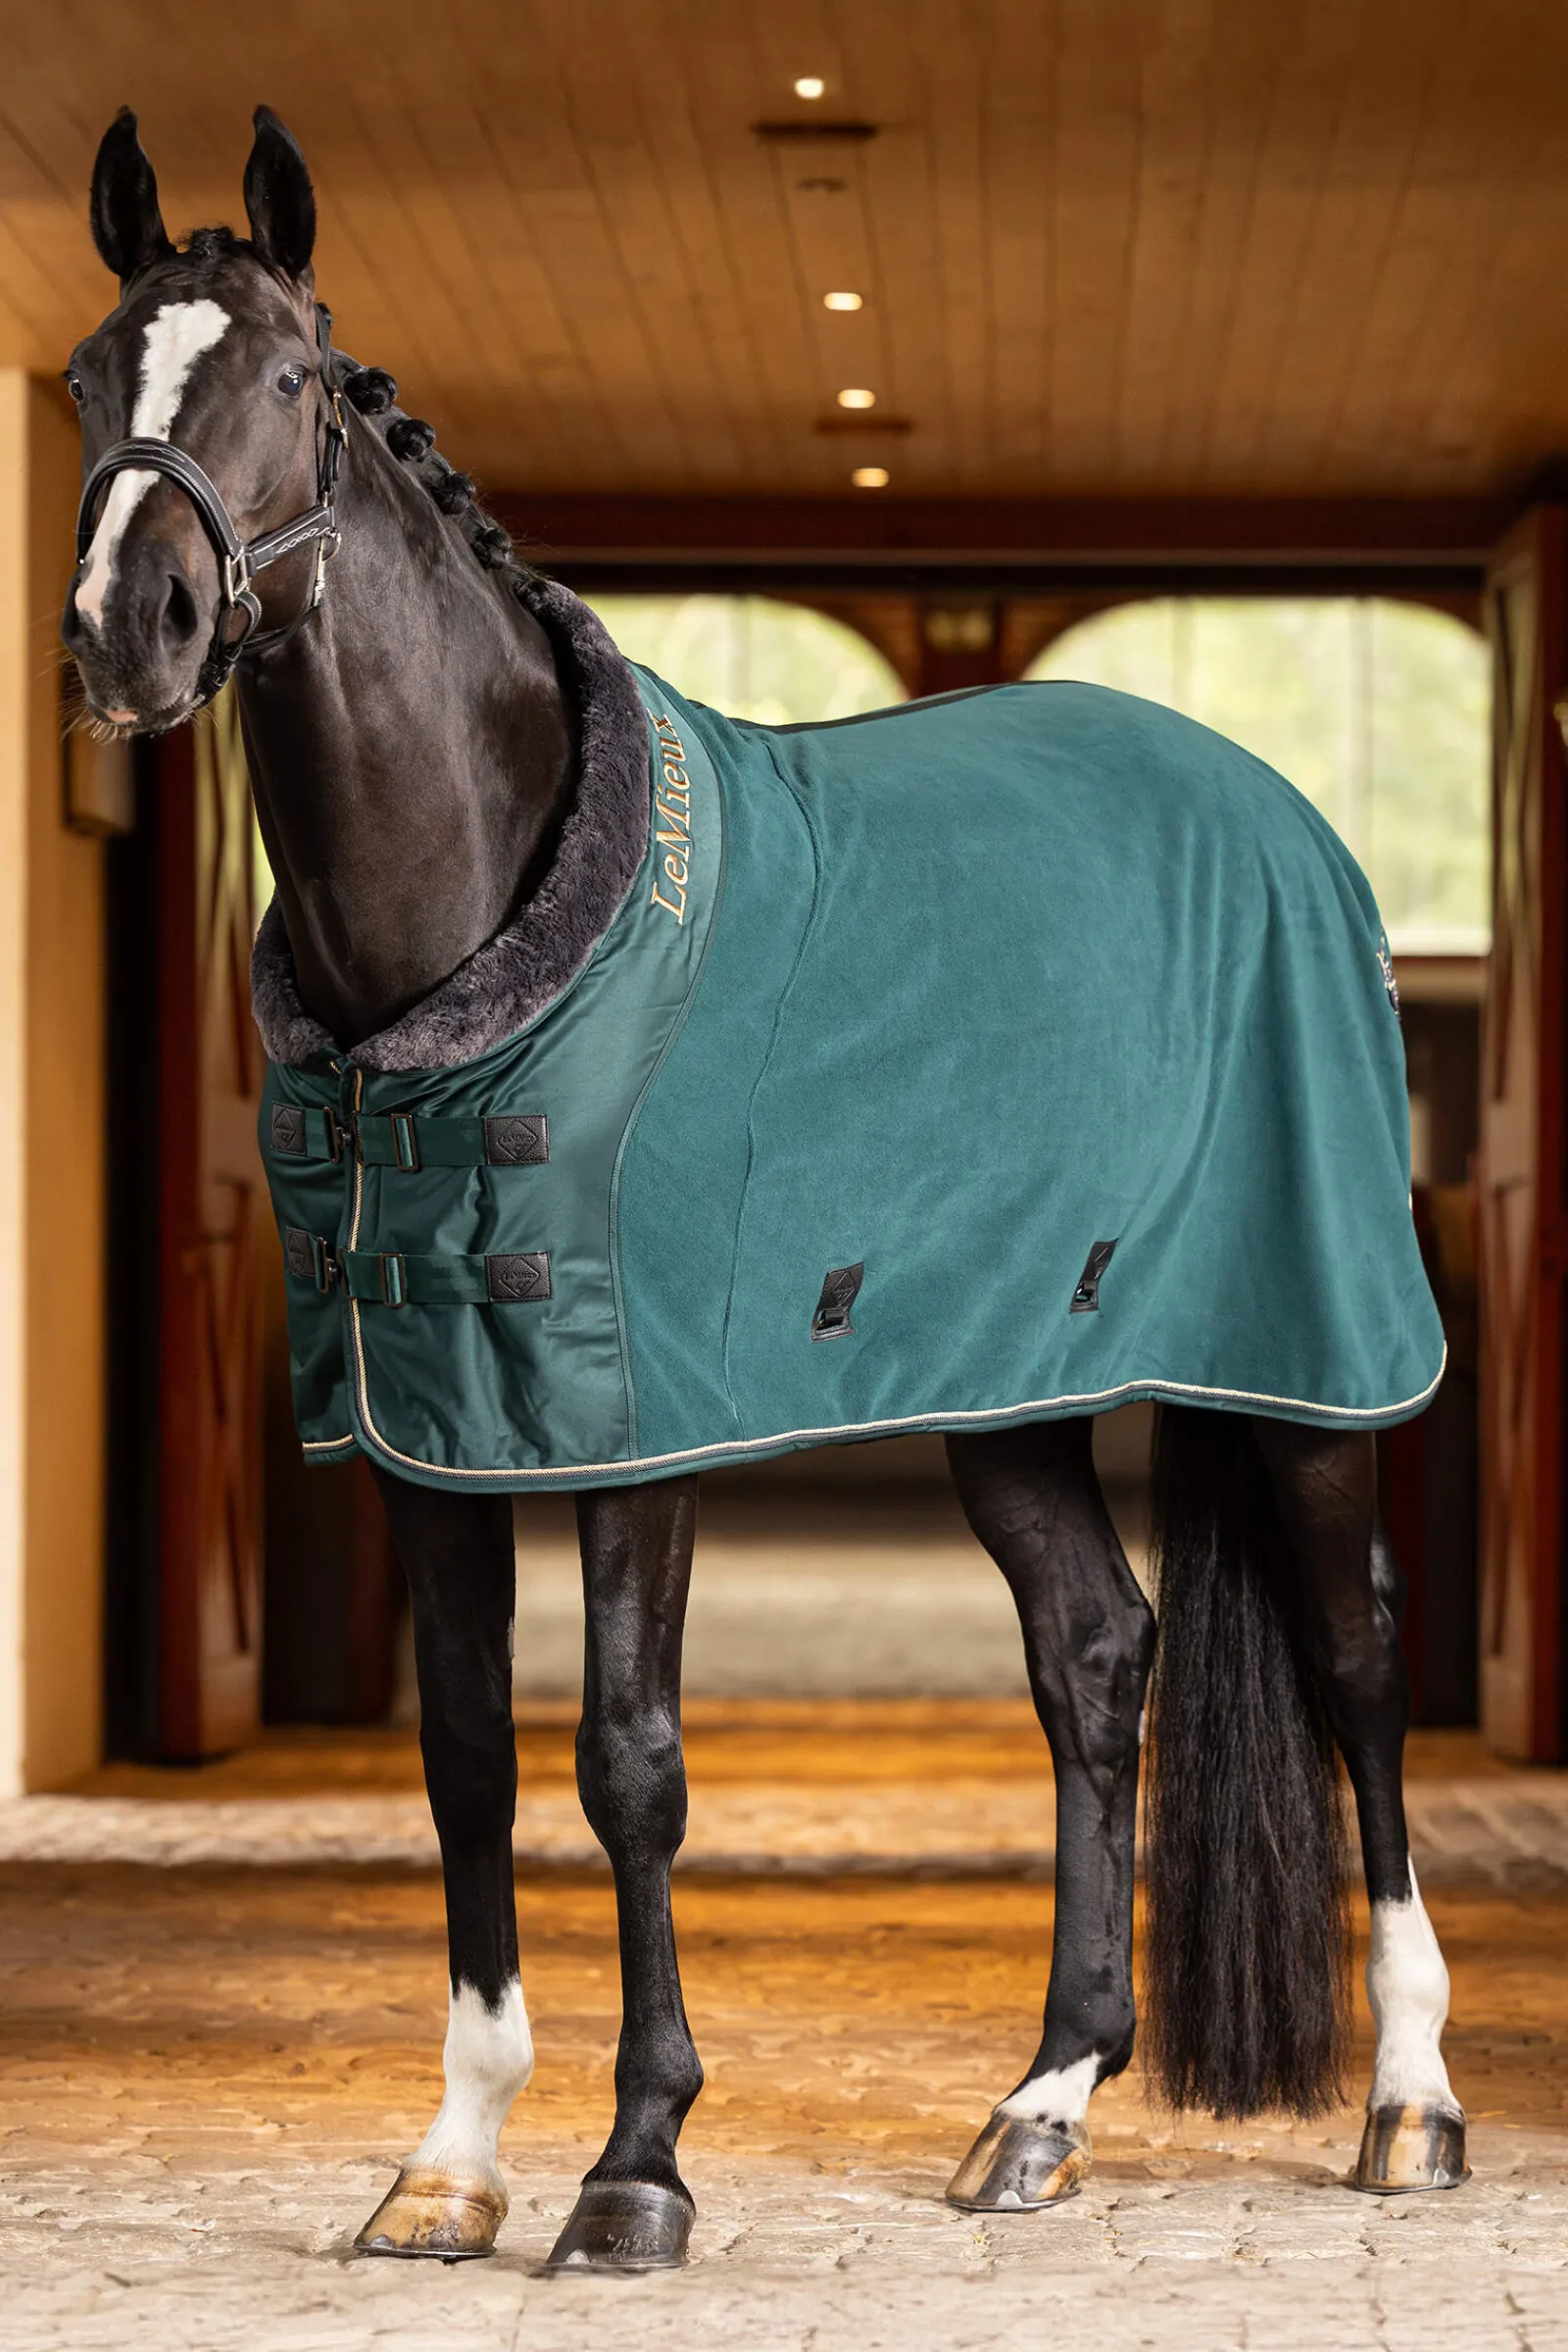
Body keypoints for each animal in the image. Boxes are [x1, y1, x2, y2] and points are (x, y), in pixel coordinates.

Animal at [60, 106, 1467, 2272]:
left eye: (289, 381)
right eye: (80, 382)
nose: (130, 633)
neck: (477, 921)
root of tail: (1276, 816)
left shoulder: (634, 1435)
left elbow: (626, 1765)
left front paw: (635, 2169)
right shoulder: (420, 1437)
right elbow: (466, 1758)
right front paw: (452, 2162)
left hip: (1304, 1356)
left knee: (1358, 1664)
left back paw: (1409, 2100)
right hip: (1011, 1382)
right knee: (1095, 1658)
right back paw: (1042, 2107)